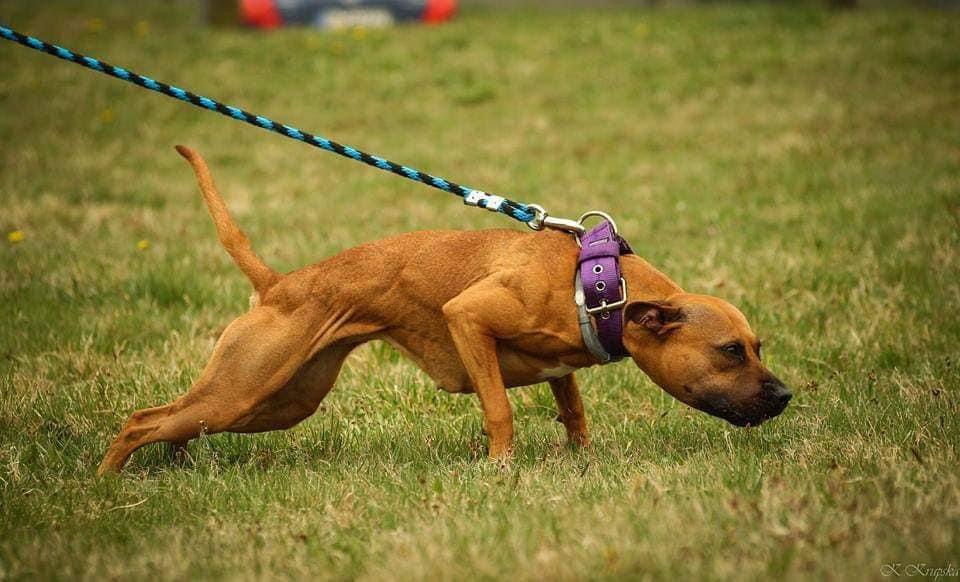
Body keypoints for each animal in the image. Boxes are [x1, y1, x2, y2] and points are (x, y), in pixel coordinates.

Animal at [97, 148, 792, 476]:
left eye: (758, 346)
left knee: (175, 424)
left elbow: (573, 412)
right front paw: (500, 470)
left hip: (278, 401)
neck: (597, 283)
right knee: (139, 421)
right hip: (245, 389)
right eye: (730, 351)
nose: (785, 396)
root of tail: (278, 285)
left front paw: (583, 460)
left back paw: (174, 463)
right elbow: (500, 410)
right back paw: (104, 483)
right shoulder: (468, 320)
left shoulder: (560, 366)